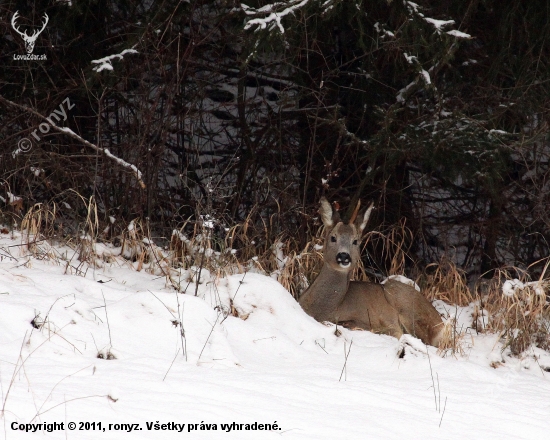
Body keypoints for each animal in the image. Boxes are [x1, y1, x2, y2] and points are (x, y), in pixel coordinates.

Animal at [300, 199, 446, 348]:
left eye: (355, 241)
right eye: (333, 237)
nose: (344, 256)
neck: (325, 309)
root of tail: (441, 324)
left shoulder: (378, 321)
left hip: (408, 308)